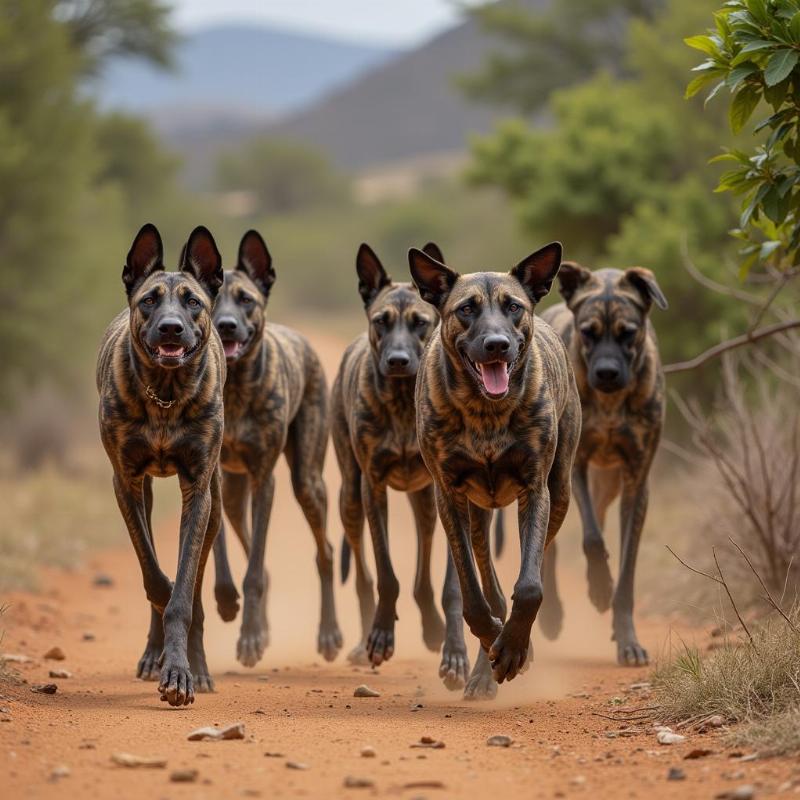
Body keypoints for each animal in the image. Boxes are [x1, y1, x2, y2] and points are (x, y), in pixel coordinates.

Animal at [99, 223, 228, 708]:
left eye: (193, 302)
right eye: (149, 300)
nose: (171, 328)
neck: (166, 394)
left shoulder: (198, 492)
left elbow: (185, 594)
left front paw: (181, 673)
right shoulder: (125, 483)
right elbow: (157, 579)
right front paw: (163, 659)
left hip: (215, 505)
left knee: (198, 587)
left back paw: (199, 666)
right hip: (147, 496)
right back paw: (153, 655)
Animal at [206, 233, 340, 668]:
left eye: (245, 299)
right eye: (211, 300)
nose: (226, 325)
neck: (235, 387)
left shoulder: (265, 479)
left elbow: (253, 571)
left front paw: (248, 637)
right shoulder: (211, 477)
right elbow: (225, 554)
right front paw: (227, 601)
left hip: (306, 482)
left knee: (325, 552)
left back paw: (329, 634)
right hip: (235, 496)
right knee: (256, 556)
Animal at [332, 241, 468, 684]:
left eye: (420, 323)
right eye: (382, 321)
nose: (397, 360)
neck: (403, 402)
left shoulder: (451, 492)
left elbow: (452, 586)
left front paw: (455, 654)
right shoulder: (372, 487)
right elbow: (385, 574)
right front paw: (380, 637)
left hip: (424, 504)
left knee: (423, 578)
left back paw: (432, 628)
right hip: (350, 499)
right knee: (363, 576)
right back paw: (363, 641)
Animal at [410, 245, 580, 700]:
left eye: (513, 307)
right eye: (466, 309)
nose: (497, 345)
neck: (486, 412)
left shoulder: (536, 490)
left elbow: (531, 586)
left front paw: (514, 648)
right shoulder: (449, 497)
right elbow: (472, 593)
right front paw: (494, 641)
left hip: (559, 494)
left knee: (529, 571)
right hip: (477, 515)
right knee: (490, 585)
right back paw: (486, 666)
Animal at [536, 260, 668, 664]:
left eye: (629, 333)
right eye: (587, 332)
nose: (607, 373)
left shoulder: (636, 482)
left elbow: (626, 574)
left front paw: (627, 640)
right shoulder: (575, 467)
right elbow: (592, 539)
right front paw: (598, 587)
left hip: (606, 485)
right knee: (553, 545)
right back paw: (551, 615)